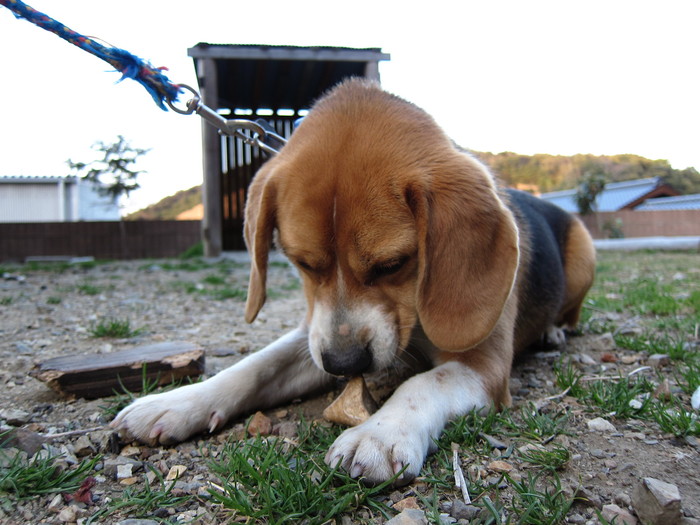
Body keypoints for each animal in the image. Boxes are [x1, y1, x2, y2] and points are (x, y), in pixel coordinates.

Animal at [112, 80, 592, 486]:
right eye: (302, 263)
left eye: (392, 264)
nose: (344, 364)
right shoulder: (313, 335)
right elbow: (254, 367)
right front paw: (178, 402)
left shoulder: (484, 366)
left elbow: (422, 384)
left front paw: (379, 434)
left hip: (585, 254)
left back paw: (553, 331)